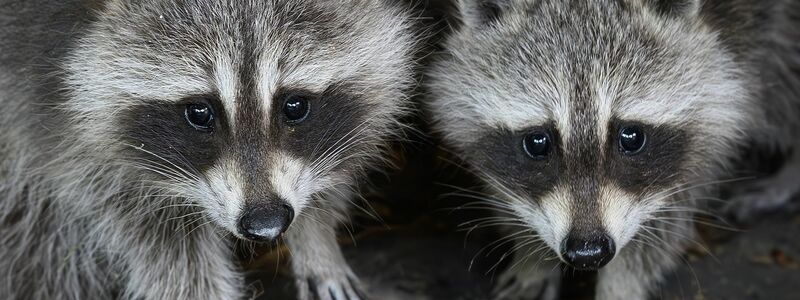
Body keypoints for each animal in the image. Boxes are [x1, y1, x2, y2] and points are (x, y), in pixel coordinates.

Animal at [0, 0, 422, 300]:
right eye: (199, 112)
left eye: (295, 105)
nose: (267, 223)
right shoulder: (45, 107)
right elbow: (155, 231)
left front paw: (315, 235)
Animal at [428, 1, 800, 298]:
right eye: (537, 142)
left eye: (631, 137)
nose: (588, 252)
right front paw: (532, 254)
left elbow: (669, 208)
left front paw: (621, 284)